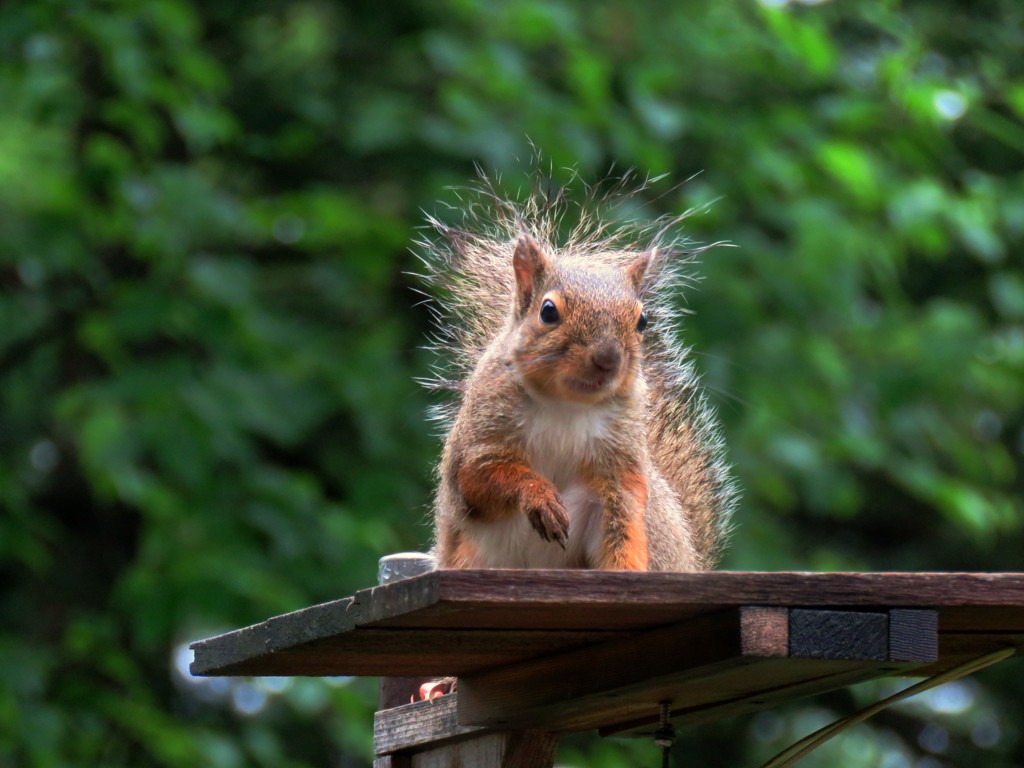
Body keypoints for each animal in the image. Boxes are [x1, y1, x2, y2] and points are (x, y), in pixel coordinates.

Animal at [415, 174, 737, 573]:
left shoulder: (617, 472)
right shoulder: (480, 438)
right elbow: (482, 476)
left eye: (642, 320)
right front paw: (539, 497)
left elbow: (622, 531)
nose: (607, 358)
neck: (566, 405)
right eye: (548, 311)